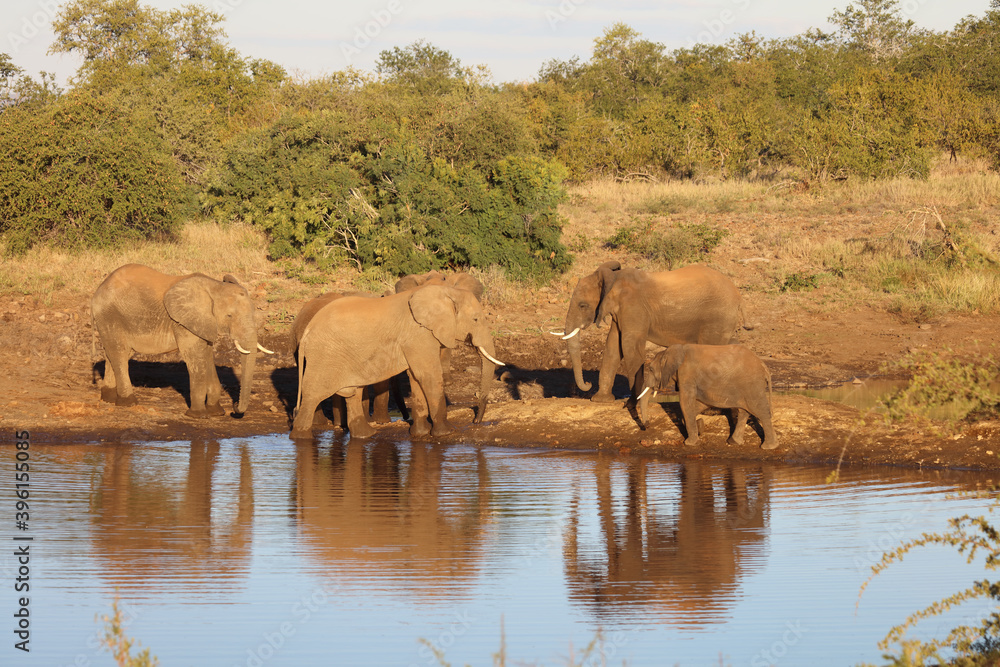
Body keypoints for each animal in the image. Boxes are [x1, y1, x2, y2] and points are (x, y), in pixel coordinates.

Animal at [91, 264, 272, 417]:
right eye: (229, 316)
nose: (234, 409)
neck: (214, 287)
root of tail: (99, 288)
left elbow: (207, 355)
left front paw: (216, 412)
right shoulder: (182, 321)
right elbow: (194, 357)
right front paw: (198, 415)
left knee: (114, 353)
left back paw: (108, 398)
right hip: (109, 314)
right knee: (119, 353)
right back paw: (128, 402)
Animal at [555, 261, 742, 403]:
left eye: (582, 305)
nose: (587, 383)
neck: (615, 279)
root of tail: (737, 292)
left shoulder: (634, 308)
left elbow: (629, 348)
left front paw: (633, 401)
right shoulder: (621, 312)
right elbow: (613, 348)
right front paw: (601, 400)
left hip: (717, 318)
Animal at [636, 343, 777, 450]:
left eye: (650, 369)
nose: (647, 425)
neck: (670, 351)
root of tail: (765, 368)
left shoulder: (687, 375)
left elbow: (685, 403)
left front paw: (690, 443)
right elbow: (697, 404)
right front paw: (700, 426)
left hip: (752, 386)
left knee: (761, 411)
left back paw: (768, 447)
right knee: (744, 411)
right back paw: (733, 442)